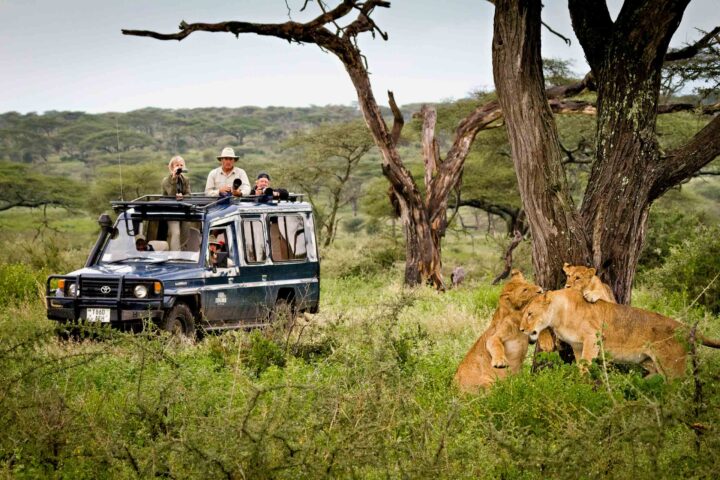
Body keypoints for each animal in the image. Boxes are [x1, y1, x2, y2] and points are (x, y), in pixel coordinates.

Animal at [520, 288, 720, 378]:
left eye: (530, 314)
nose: (521, 330)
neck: (559, 316)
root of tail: (683, 327)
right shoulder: (577, 346)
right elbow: (580, 363)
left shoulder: (593, 337)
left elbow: (585, 366)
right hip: (653, 365)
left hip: (672, 365)